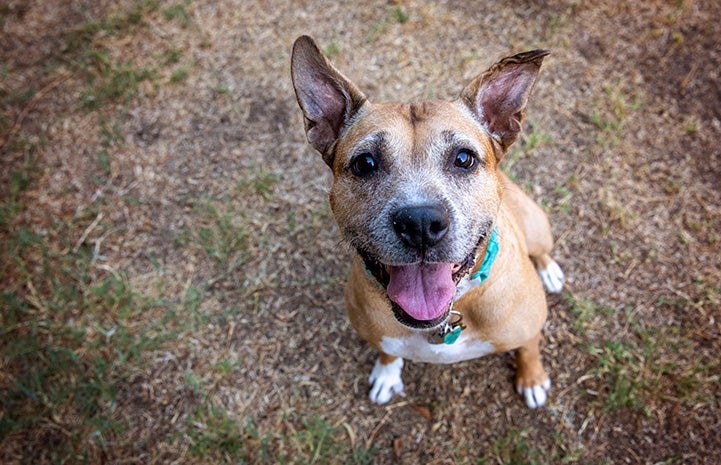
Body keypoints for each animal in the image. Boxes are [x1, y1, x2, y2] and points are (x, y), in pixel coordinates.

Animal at [290, 35, 564, 406]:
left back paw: (550, 271)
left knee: (542, 250)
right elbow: (388, 351)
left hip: (536, 225)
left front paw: (532, 378)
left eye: (464, 158)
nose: (419, 223)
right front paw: (387, 374)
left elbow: (529, 349)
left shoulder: (530, 327)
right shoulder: (379, 334)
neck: (444, 318)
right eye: (365, 163)